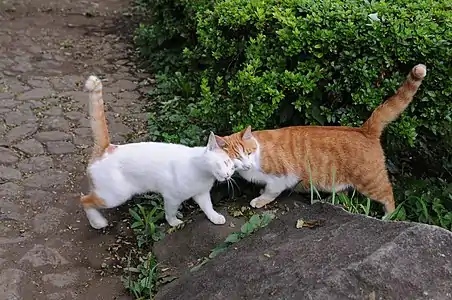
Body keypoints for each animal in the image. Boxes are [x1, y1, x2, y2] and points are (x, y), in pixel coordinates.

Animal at [80, 76, 233, 229]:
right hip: (114, 196)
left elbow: (208, 207)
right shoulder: (171, 197)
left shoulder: (202, 194)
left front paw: (215, 217)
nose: (227, 175)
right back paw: (97, 222)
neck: (203, 173)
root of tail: (107, 147)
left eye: (232, 168)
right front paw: (174, 223)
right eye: (225, 162)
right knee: (84, 200)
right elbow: (170, 213)